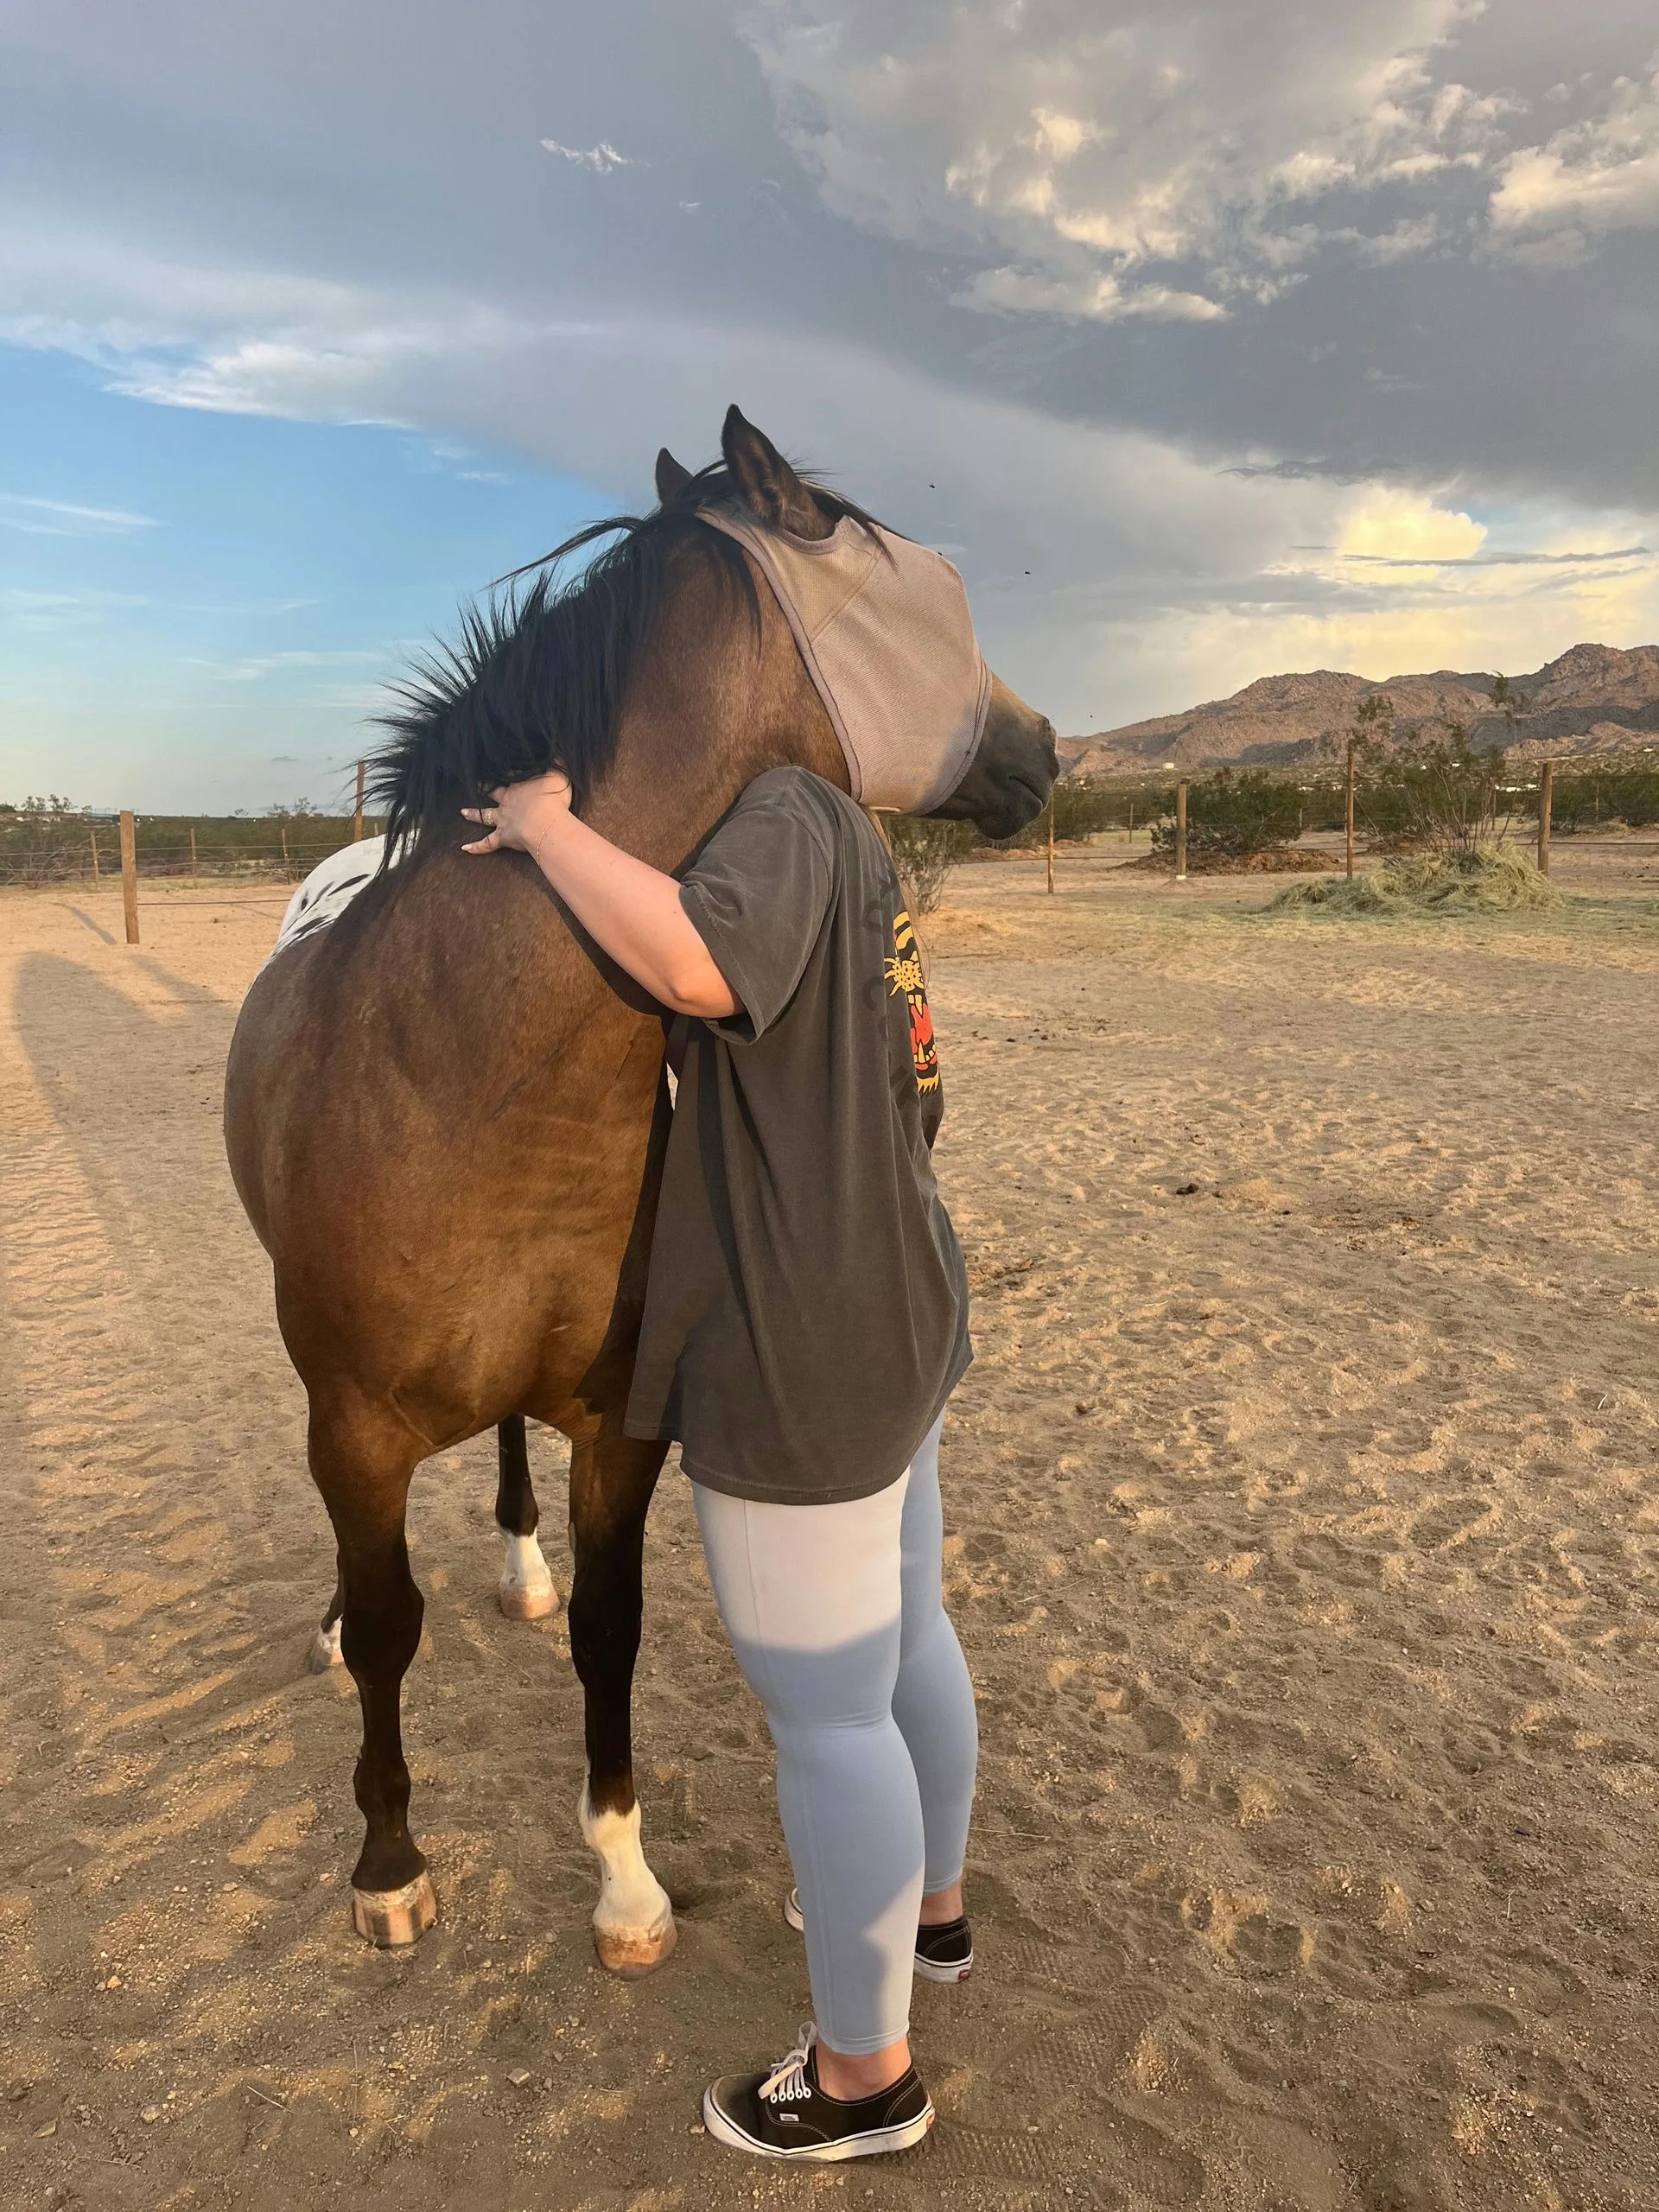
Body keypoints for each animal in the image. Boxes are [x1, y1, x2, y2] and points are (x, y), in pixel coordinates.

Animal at [223, 406, 1056, 1973]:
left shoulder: (618, 1423)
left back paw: (520, 1567)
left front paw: (624, 1879)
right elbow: (389, 1627)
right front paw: (388, 1865)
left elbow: (609, 1629)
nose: (1043, 743)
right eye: (934, 587)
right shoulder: (353, 1427)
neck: (465, 1068)